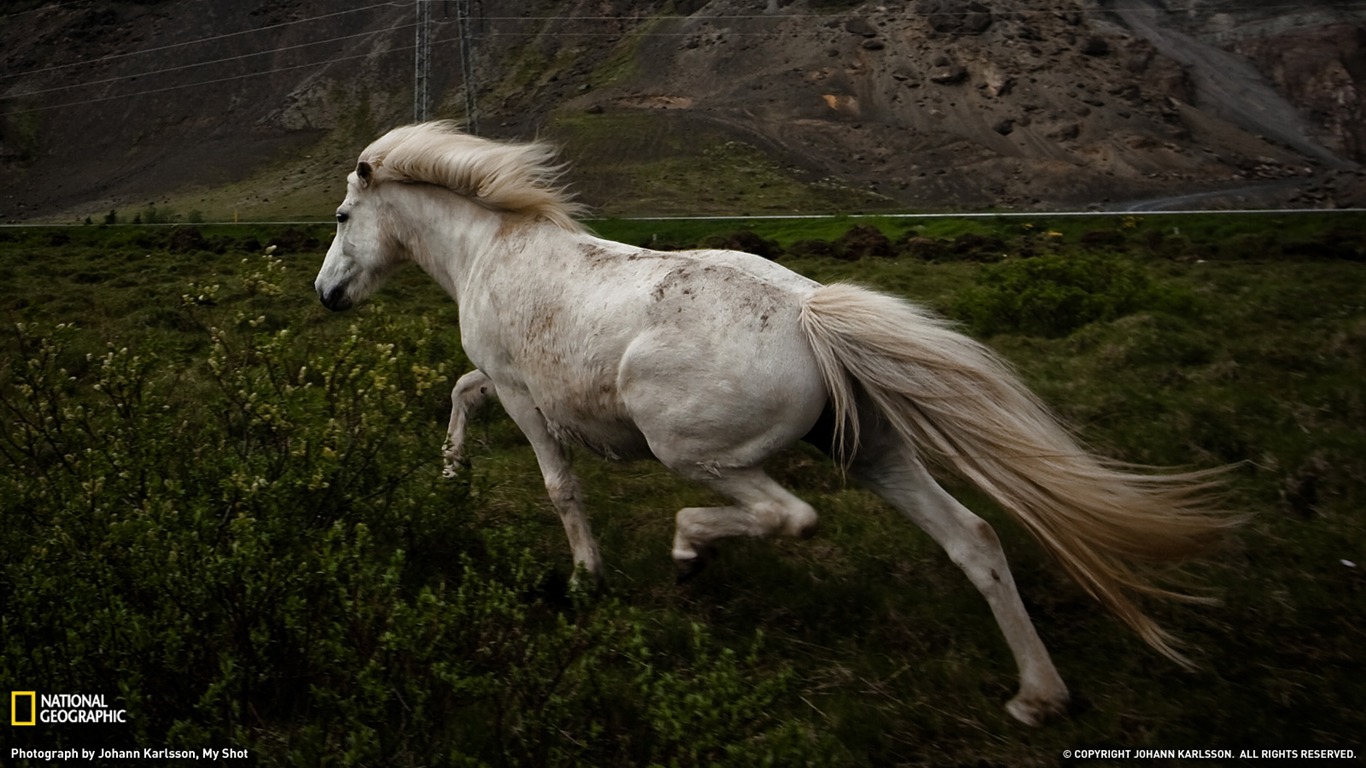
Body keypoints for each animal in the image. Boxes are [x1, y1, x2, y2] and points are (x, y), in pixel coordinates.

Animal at [316, 120, 1240, 721]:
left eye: (341, 218)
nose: (325, 294)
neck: (492, 250)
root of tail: (810, 312)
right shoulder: (508, 387)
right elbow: (460, 394)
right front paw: (449, 478)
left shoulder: (525, 396)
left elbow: (557, 486)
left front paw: (584, 579)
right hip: (873, 453)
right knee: (974, 538)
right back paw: (1038, 696)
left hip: (694, 450)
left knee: (787, 515)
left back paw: (690, 553)